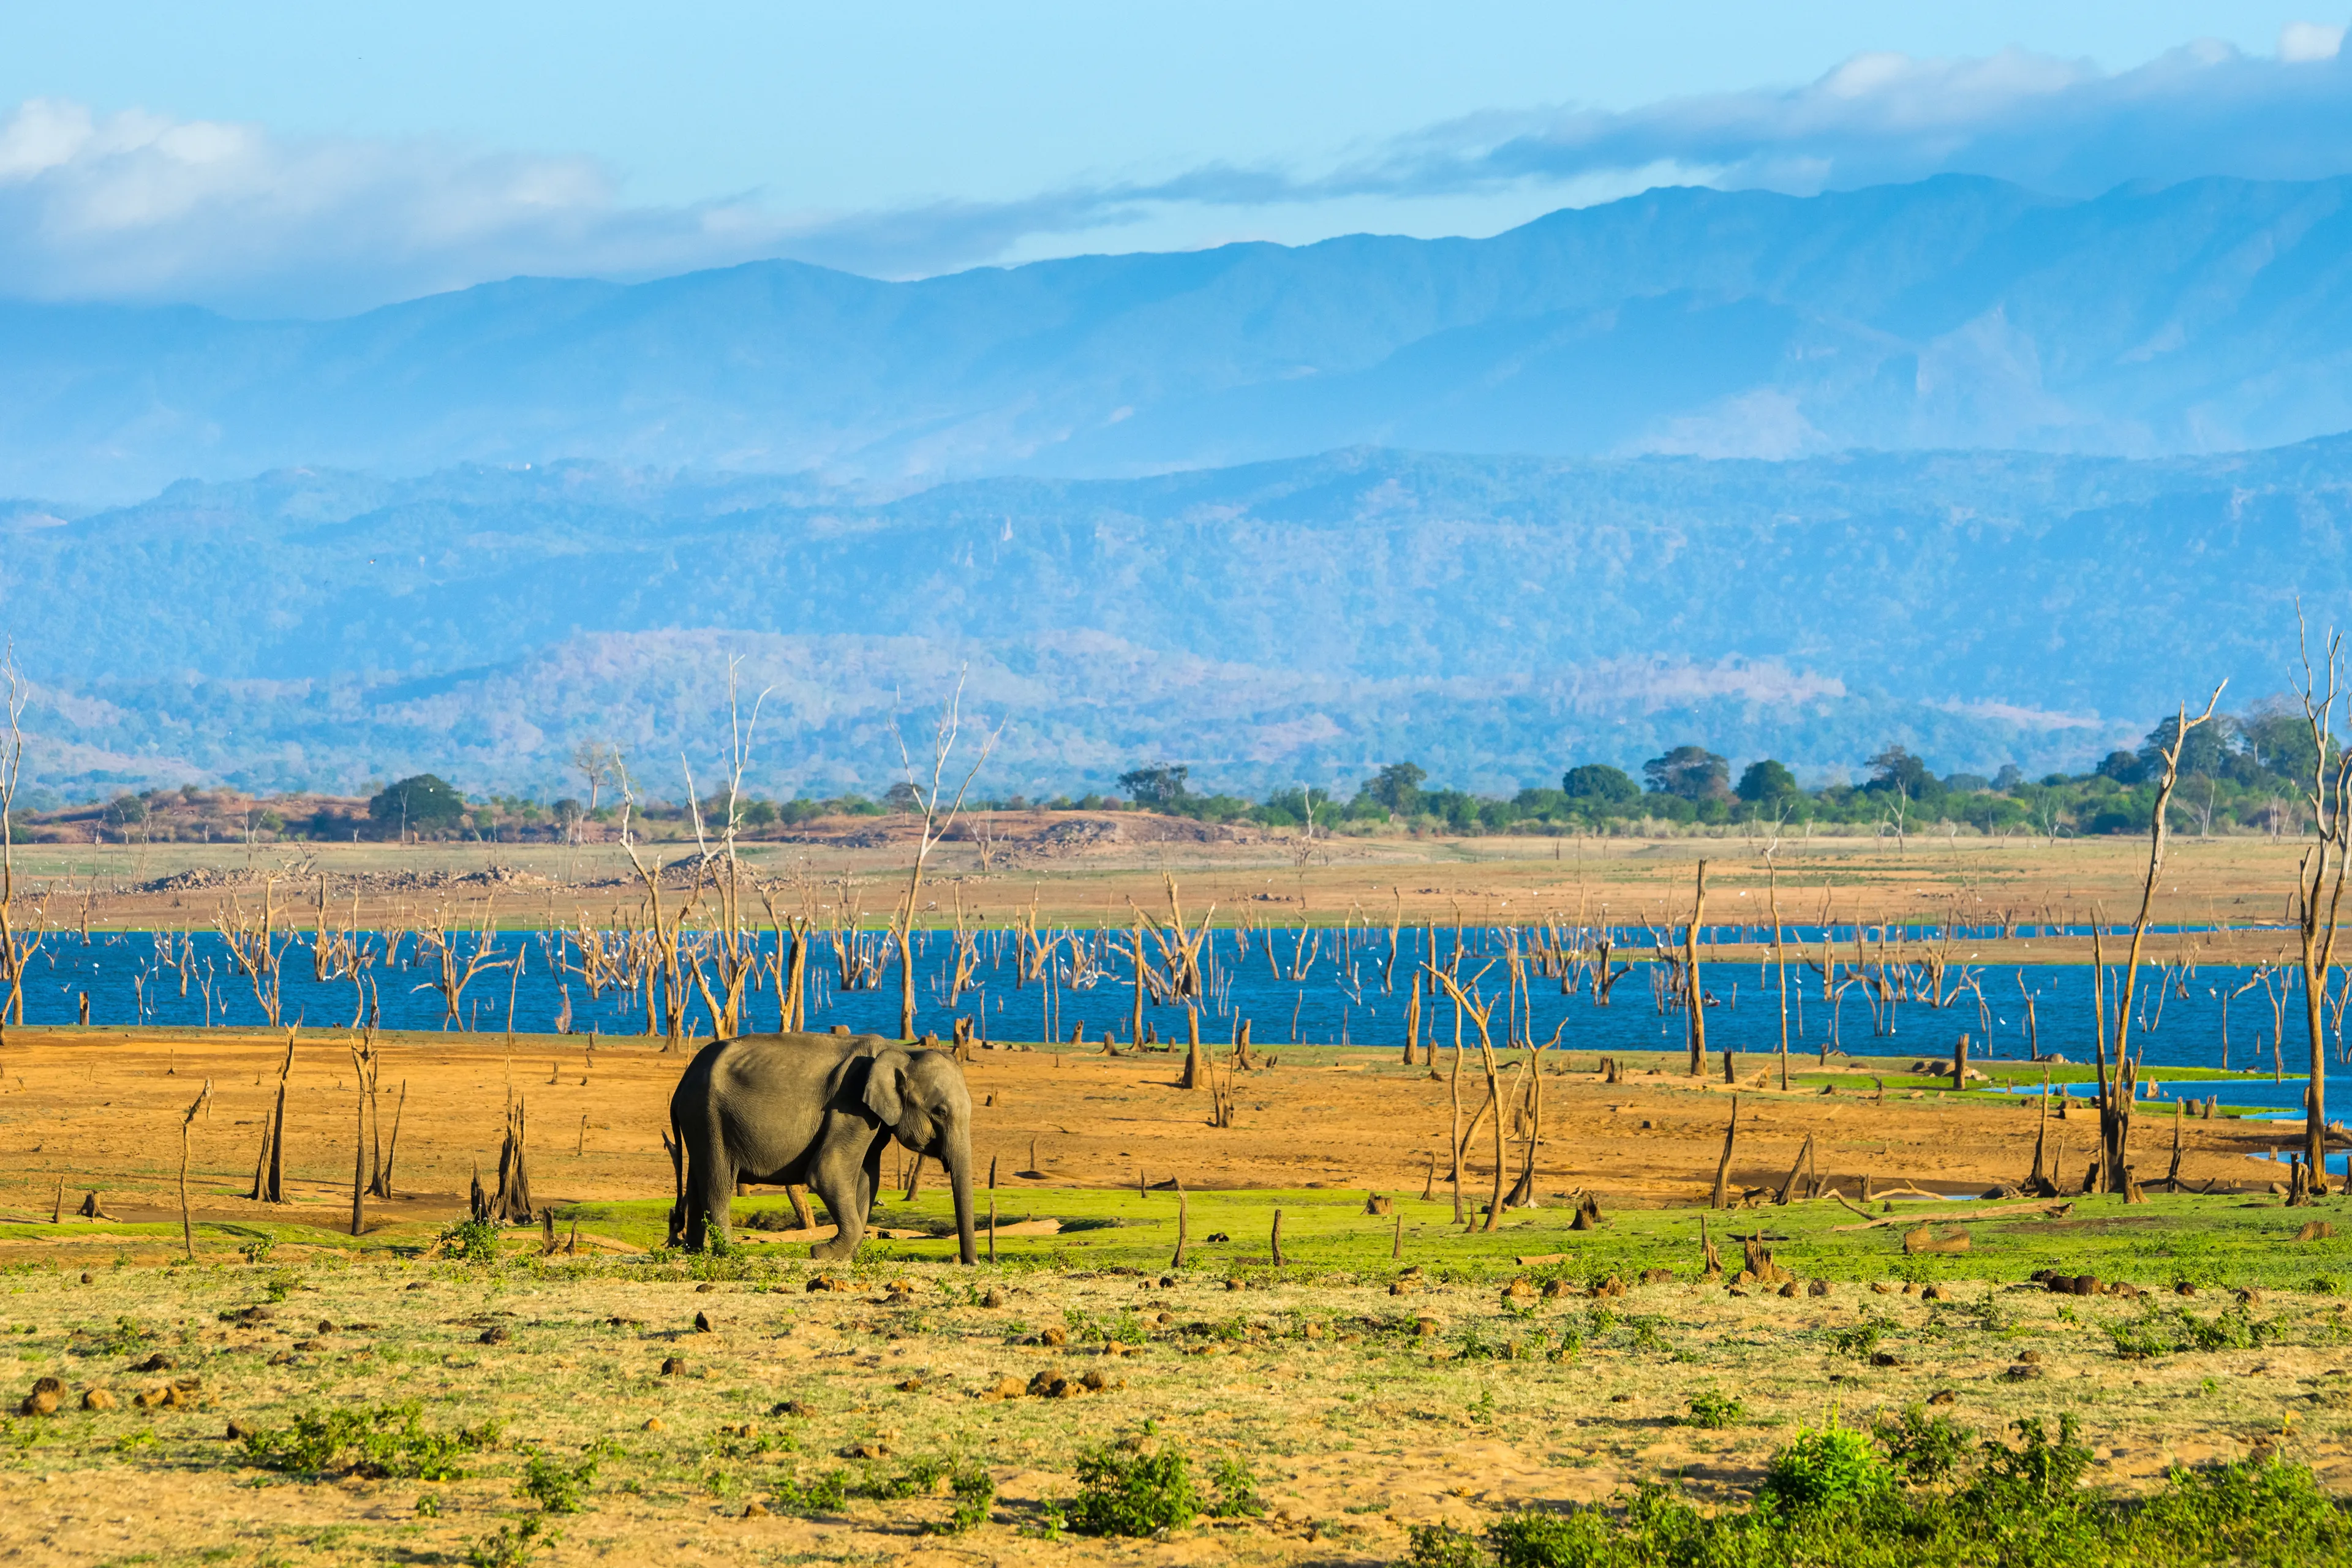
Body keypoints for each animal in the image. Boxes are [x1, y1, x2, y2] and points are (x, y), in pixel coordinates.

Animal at [667, 1029, 977, 1263]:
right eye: (940, 1112)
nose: (970, 1262)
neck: (899, 1052)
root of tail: (682, 1083)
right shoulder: (850, 1106)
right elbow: (827, 1172)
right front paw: (822, 1253)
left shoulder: (872, 1121)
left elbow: (867, 1180)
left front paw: (844, 1256)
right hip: (708, 1116)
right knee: (717, 1183)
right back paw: (727, 1252)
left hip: (700, 1122)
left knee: (697, 1180)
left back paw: (695, 1251)